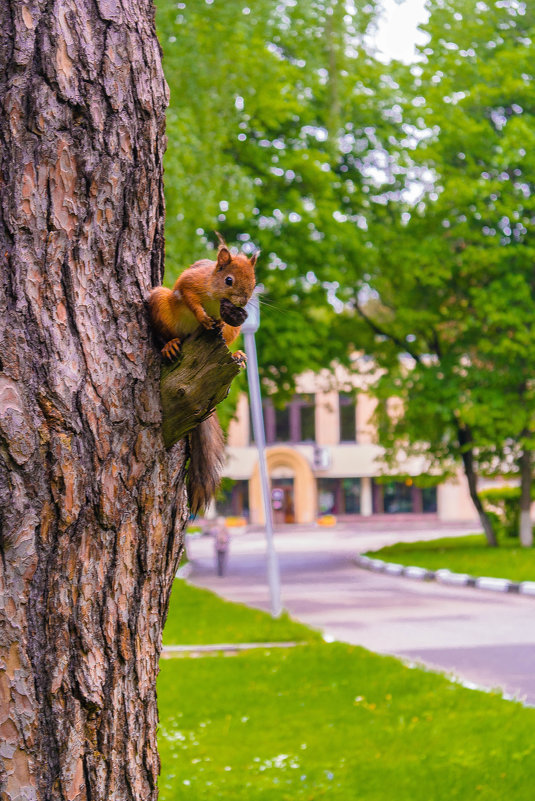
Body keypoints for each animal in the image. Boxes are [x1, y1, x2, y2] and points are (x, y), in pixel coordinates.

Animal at [148, 234, 258, 516]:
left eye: (254, 282)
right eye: (228, 280)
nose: (242, 301)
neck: (216, 301)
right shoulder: (191, 282)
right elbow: (189, 297)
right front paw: (203, 316)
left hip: (230, 333)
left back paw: (237, 354)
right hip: (160, 302)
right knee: (167, 332)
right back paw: (170, 344)